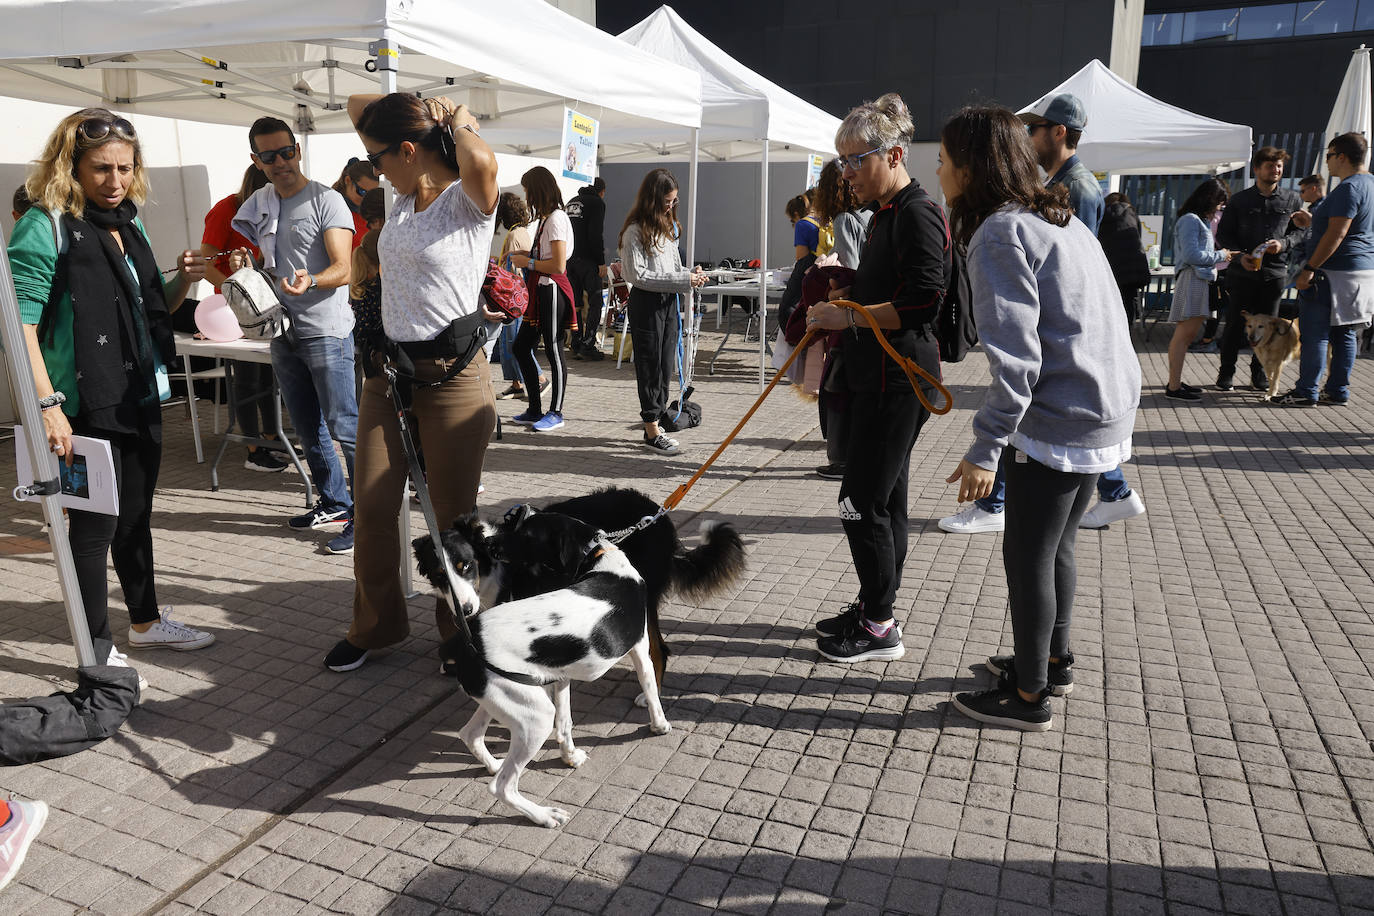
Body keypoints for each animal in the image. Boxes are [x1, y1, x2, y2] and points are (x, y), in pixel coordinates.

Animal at [414, 513, 673, 829]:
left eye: (526, 534)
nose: (489, 544)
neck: (600, 559)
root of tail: (465, 641)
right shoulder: (640, 650)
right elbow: (651, 691)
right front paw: (660, 726)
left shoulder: (560, 676)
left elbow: (566, 723)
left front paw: (569, 756)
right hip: (534, 718)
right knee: (502, 787)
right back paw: (544, 815)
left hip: (507, 696)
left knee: (471, 734)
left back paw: (493, 764)